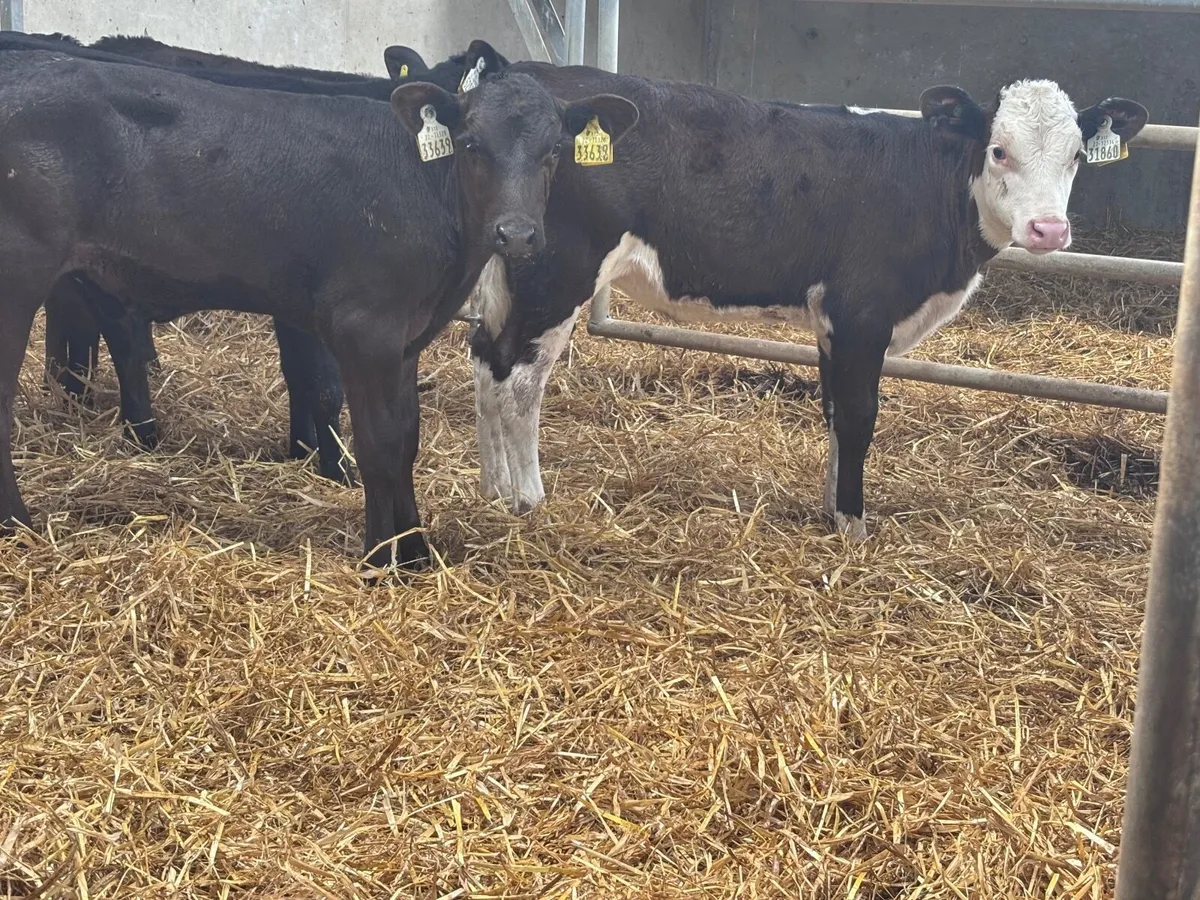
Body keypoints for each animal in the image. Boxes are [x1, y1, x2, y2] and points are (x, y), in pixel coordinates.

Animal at [459, 42, 1147, 541]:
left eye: (1077, 156)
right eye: (998, 150)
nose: (1048, 229)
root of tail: (528, 75)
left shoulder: (833, 322)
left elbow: (837, 413)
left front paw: (832, 509)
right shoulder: (864, 311)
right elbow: (863, 415)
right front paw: (855, 526)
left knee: (486, 362)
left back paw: (492, 488)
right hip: (557, 275)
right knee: (520, 381)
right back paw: (527, 497)